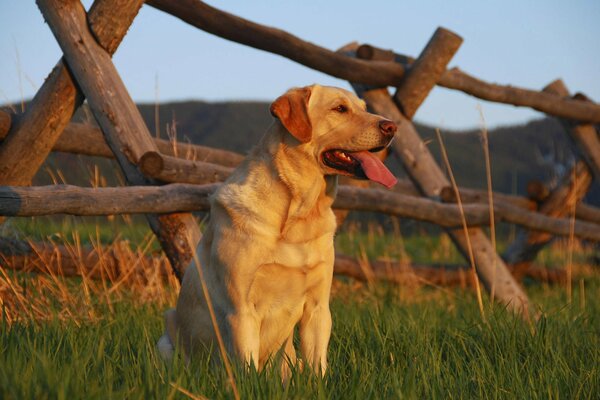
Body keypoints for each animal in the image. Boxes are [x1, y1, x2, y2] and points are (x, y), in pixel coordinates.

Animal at [157, 83, 396, 376]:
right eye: (340, 108)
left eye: (364, 108)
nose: (392, 127)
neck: (299, 214)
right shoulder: (241, 310)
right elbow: (247, 369)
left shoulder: (318, 307)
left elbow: (318, 367)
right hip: (167, 339)